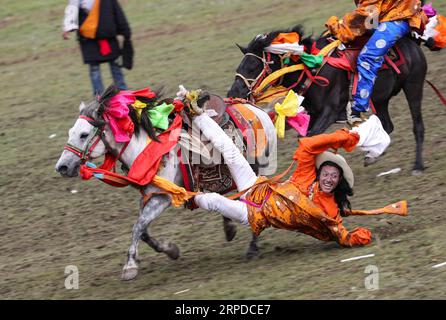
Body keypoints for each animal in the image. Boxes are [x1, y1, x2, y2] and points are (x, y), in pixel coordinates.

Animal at [54, 87, 278, 280]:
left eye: (84, 134)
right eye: (71, 132)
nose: (62, 167)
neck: (146, 148)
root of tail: (258, 109)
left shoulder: (162, 198)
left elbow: (137, 226)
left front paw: (130, 266)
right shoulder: (149, 195)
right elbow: (143, 230)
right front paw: (171, 251)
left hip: (260, 167)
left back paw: (252, 248)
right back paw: (229, 227)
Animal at [228, 25, 426, 172]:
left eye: (253, 67)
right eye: (240, 67)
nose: (233, 93)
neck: (312, 69)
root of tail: (411, 41)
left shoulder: (329, 112)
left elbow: (309, 138)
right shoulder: (314, 114)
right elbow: (307, 139)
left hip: (413, 86)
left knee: (417, 125)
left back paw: (418, 165)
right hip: (380, 99)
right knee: (387, 125)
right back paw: (372, 154)